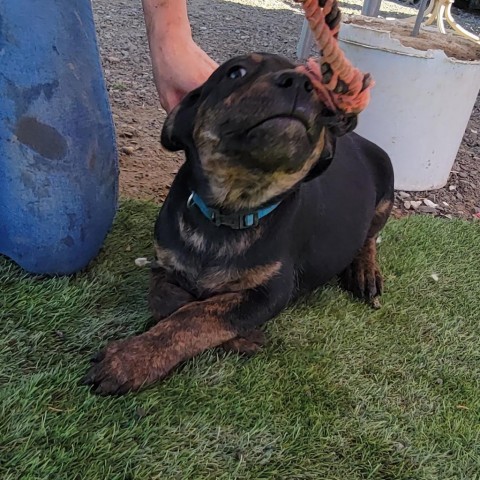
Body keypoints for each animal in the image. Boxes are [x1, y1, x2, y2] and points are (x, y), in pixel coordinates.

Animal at [83, 52, 394, 396]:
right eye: (236, 72)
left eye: (317, 88)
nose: (300, 83)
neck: (230, 211)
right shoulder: (163, 264)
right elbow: (167, 300)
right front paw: (240, 335)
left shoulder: (270, 291)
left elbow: (198, 315)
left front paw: (128, 360)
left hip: (386, 189)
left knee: (369, 237)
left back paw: (365, 272)